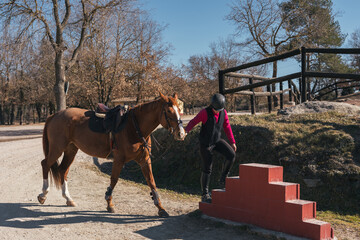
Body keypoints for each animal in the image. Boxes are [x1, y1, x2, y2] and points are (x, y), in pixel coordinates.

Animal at [37, 92, 186, 218]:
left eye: (180, 110)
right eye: (169, 111)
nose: (181, 134)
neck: (133, 126)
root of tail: (55, 115)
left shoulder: (144, 160)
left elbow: (152, 182)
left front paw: (161, 208)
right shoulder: (119, 159)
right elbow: (114, 180)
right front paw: (109, 203)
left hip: (71, 149)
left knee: (63, 170)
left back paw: (68, 199)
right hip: (57, 148)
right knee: (45, 164)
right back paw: (43, 195)